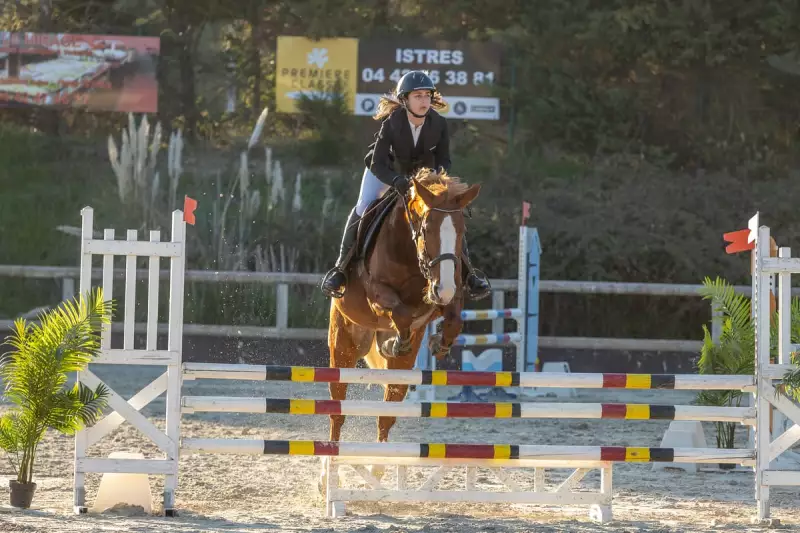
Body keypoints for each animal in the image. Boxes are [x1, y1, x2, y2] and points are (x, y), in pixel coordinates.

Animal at [324, 169, 482, 444]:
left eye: (462, 231)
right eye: (427, 229)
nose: (443, 290)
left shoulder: (451, 291)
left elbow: (453, 320)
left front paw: (438, 344)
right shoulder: (377, 294)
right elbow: (401, 312)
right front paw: (396, 341)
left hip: (400, 369)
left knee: (386, 417)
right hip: (344, 345)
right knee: (337, 411)